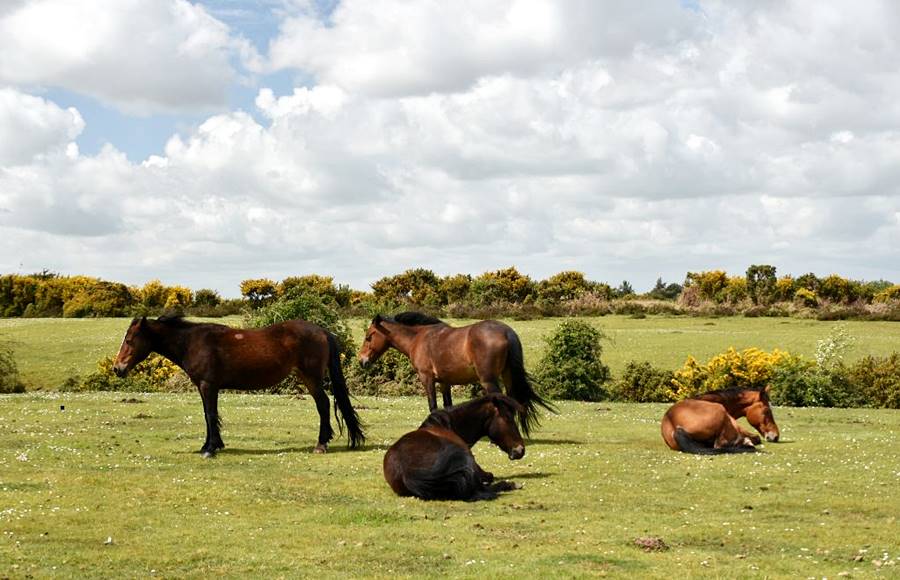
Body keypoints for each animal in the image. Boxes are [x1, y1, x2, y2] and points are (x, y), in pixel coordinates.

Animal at [114, 318, 364, 458]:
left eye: (129, 340)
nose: (118, 368)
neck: (193, 342)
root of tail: (322, 331)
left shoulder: (208, 385)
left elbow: (210, 414)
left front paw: (210, 449)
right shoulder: (205, 387)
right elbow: (208, 415)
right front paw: (209, 445)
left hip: (311, 378)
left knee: (323, 405)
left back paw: (321, 444)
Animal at [356, 312, 552, 436]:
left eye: (368, 336)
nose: (361, 361)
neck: (418, 338)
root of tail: (505, 331)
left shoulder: (427, 379)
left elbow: (433, 406)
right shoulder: (444, 382)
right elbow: (447, 406)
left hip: (489, 381)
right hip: (507, 377)